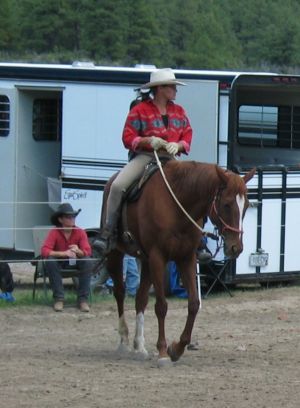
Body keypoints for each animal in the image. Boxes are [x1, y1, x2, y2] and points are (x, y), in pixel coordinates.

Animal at [96, 160, 255, 366]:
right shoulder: (158, 258)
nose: (236, 247)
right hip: (116, 254)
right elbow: (161, 306)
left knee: (141, 298)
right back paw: (124, 340)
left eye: (246, 206)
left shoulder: (186, 258)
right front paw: (163, 351)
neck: (177, 206)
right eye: (227, 204)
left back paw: (139, 346)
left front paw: (176, 349)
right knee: (120, 293)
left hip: (145, 261)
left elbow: (194, 304)